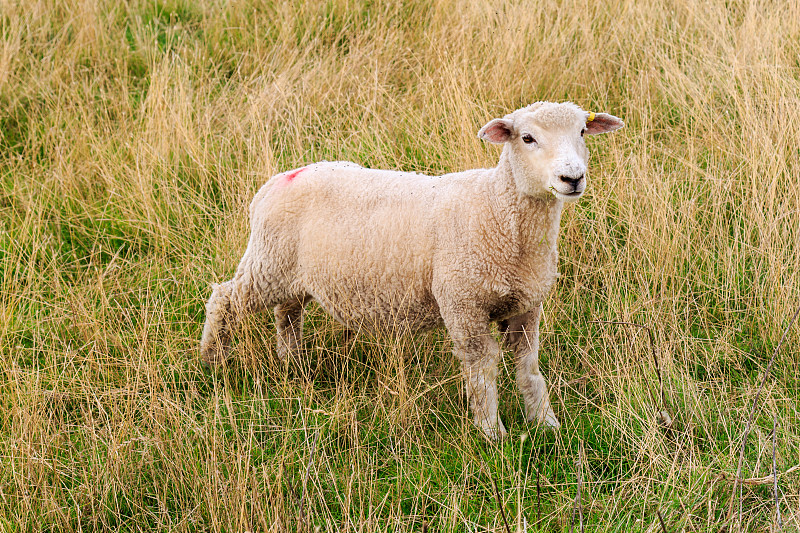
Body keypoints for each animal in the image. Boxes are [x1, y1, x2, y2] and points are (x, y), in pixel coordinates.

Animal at [200, 102, 624, 438]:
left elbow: (529, 365)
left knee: (288, 313)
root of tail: (276, 182)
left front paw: (545, 423)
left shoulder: (526, 304)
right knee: (224, 299)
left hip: (290, 273)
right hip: (267, 264)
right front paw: (492, 432)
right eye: (527, 138)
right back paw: (213, 361)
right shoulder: (462, 303)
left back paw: (292, 364)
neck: (496, 208)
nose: (572, 178)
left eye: (582, 131)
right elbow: (482, 366)